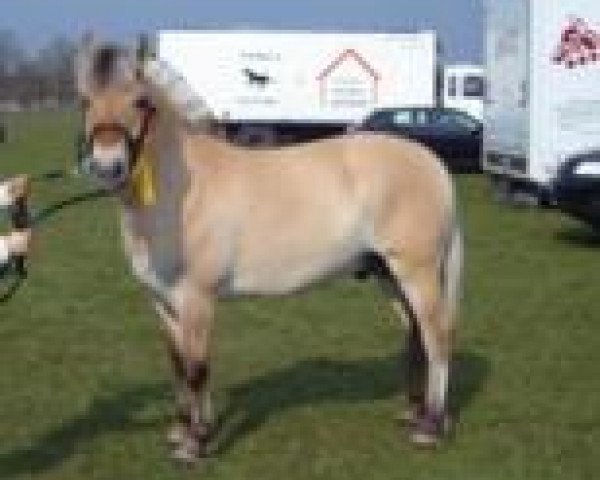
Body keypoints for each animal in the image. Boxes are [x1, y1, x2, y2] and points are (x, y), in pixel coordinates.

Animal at [75, 38, 464, 462]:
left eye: (141, 101)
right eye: (84, 101)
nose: (107, 166)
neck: (183, 192)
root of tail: (432, 163)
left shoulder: (196, 300)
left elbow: (197, 369)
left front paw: (196, 443)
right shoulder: (162, 302)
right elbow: (178, 365)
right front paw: (180, 432)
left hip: (417, 273)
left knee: (437, 337)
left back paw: (430, 428)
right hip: (387, 273)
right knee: (415, 333)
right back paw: (413, 413)